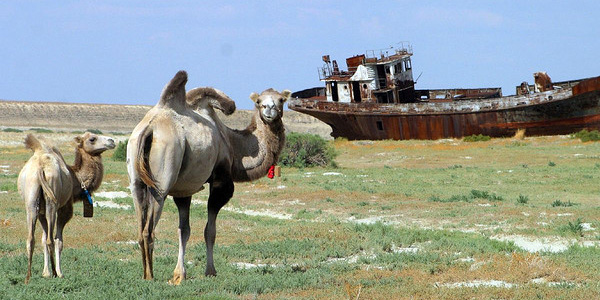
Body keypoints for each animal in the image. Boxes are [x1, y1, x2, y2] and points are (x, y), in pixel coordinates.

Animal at [19, 132, 115, 284]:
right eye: (92, 139)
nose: (112, 141)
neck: (76, 179)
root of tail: (41, 166)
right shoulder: (65, 208)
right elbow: (59, 241)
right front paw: (59, 272)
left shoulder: (41, 212)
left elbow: (42, 239)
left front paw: (45, 273)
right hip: (52, 201)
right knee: (51, 240)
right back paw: (54, 272)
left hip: (31, 200)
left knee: (31, 239)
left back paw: (28, 277)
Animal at [127, 70, 292, 284]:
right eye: (258, 101)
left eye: (281, 100)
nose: (269, 109)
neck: (231, 143)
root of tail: (149, 129)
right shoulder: (221, 180)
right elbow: (210, 231)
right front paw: (210, 271)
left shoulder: (183, 189)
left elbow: (184, 230)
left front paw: (179, 275)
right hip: (161, 180)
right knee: (148, 230)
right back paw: (150, 276)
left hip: (136, 179)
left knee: (140, 227)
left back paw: (144, 274)